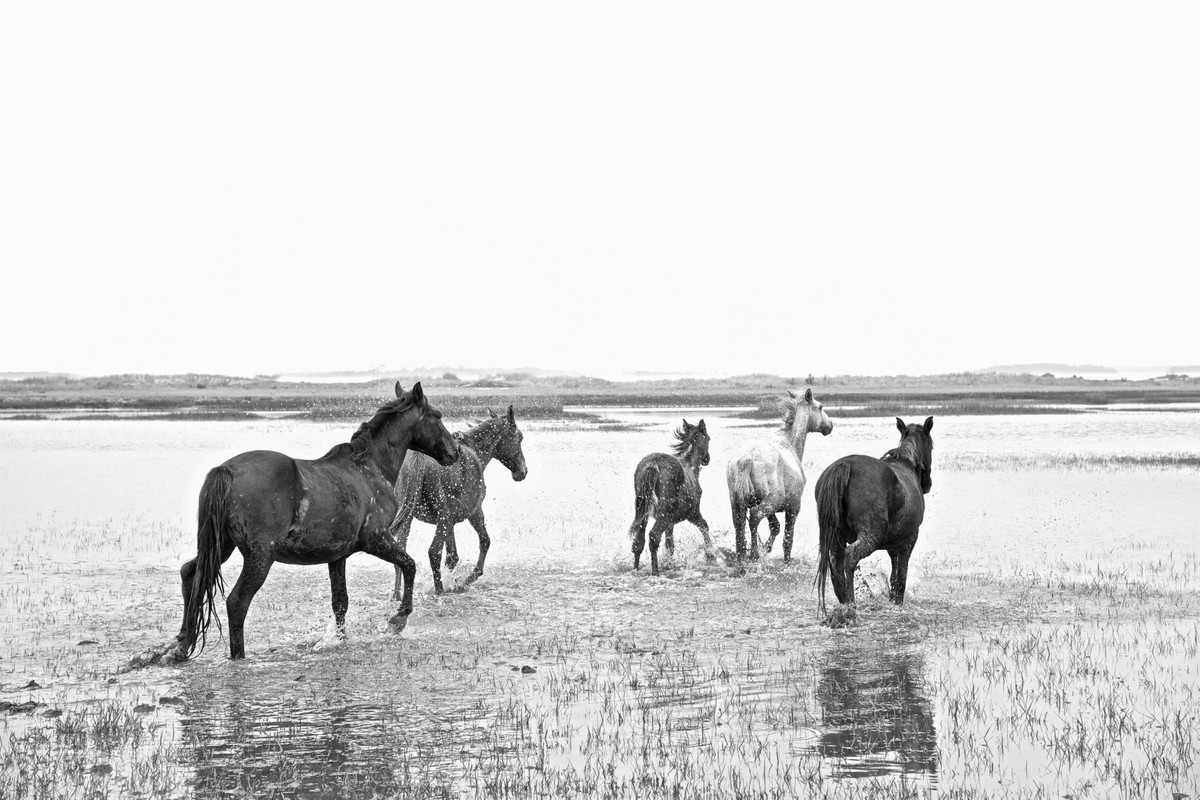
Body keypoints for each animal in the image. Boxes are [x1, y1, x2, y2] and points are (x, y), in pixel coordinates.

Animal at [166, 383, 451, 662]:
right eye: (437, 416)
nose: (455, 451)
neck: (369, 469)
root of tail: (226, 470)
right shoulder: (378, 540)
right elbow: (409, 565)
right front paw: (397, 620)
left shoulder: (338, 556)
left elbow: (340, 601)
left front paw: (338, 640)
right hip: (259, 558)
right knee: (237, 602)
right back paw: (238, 656)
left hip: (222, 547)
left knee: (191, 575)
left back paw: (181, 646)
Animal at [391, 407, 528, 594]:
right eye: (519, 437)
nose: (523, 471)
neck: (476, 451)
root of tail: (419, 458)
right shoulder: (475, 512)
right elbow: (484, 541)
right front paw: (464, 581)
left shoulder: (450, 521)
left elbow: (452, 557)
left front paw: (454, 583)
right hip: (441, 516)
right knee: (434, 552)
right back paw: (439, 592)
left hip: (411, 516)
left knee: (402, 554)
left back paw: (397, 595)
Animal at [628, 419, 710, 575]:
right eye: (708, 438)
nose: (707, 459)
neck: (691, 467)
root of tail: (652, 464)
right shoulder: (693, 513)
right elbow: (705, 527)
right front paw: (711, 556)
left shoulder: (670, 522)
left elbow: (670, 544)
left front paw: (669, 564)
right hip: (664, 515)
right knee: (653, 536)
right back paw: (655, 571)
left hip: (644, 513)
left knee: (638, 541)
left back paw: (635, 568)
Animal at [720, 388, 835, 563]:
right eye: (820, 406)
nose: (830, 425)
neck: (790, 446)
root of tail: (746, 458)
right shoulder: (793, 507)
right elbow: (788, 538)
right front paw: (783, 558)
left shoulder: (773, 509)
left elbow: (775, 527)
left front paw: (767, 548)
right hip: (769, 502)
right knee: (754, 517)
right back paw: (754, 553)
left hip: (738, 502)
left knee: (739, 524)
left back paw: (742, 555)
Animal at [811, 419, 931, 614]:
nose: (927, 484)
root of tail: (845, 465)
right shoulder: (908, 541)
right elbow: (901, 580)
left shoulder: (893, 547)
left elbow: (894, 579)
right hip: (870, 536)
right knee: (850, 558)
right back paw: (851, 604)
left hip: (837, 536)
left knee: (836, 565)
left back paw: (844, 602)